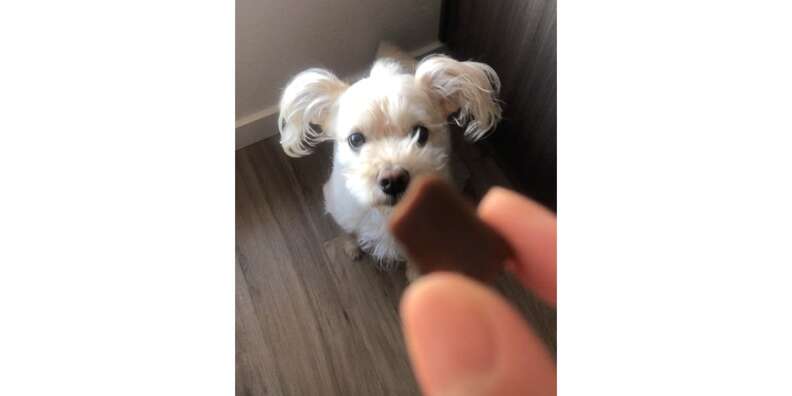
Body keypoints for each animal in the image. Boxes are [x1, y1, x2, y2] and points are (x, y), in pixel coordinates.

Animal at [278, 44, 502, 278]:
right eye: (355, 139)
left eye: (420, 133)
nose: (393, 180)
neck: (386, 212)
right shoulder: (341, 207)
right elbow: (348, 231)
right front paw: (352, 246)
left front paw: (415, 275)